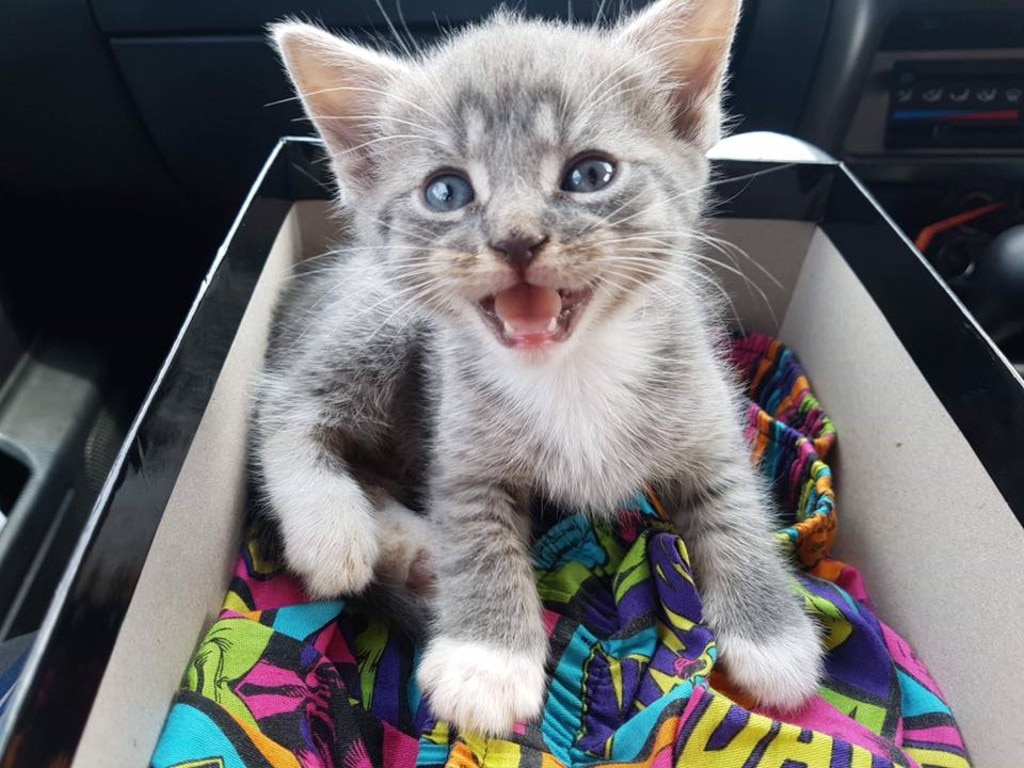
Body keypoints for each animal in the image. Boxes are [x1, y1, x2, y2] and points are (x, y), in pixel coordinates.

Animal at [258, 0, 823, 741]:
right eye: (446, 190)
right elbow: (474, 528)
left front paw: (772, 636)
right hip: (380, 315)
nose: (517, 238)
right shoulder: (463, 445)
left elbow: (735, 507)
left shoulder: (704, 403)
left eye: (590, 174)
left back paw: (408, 546)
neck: (571, 370)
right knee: (287, 404)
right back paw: (336, 531)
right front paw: (487, 663)